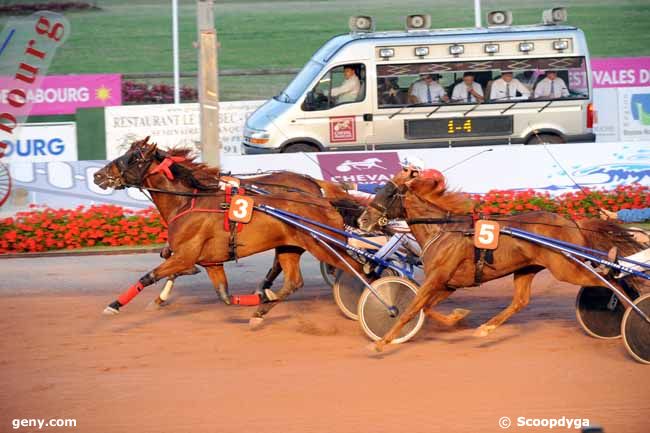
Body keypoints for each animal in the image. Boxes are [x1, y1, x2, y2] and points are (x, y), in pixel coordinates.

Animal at [93, 137, 362, 326]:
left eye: (132, 159)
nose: (98, 175)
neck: (188, 200)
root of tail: (318, 193)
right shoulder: (209, 261)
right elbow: (223, 295)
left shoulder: (185, 254)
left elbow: (149, 276)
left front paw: (114, 305)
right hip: (290, 246)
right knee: (293, 282)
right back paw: (261, 308)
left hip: (325, 245)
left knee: (357, 269)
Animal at [356, 174, 640, 350]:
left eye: (388, 194)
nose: (362, 220)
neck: (443, 230)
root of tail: (571, 221)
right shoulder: (448, 283)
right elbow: (426, 308)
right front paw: (458, 317)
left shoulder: (437, 279)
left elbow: (411, 309)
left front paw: (381, 342)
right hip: (527, 269)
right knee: (520, 301)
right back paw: (485, 329)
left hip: (566, 268)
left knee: (609, 281)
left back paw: (634, 310)